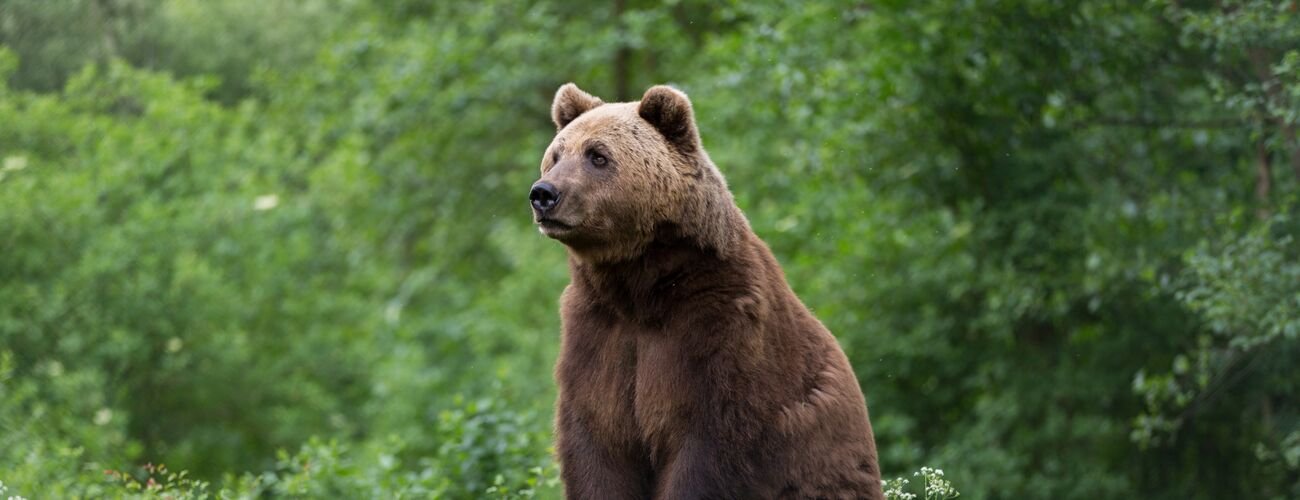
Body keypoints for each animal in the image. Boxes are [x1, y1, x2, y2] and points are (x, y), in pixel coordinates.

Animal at [527, 83, 883, 496]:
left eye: (597, 155)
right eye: (555, 155)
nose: (544, 193)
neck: (640, 287)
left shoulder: (717, 328)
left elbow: (707, 443)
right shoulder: (597, 333)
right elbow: (598, 442)